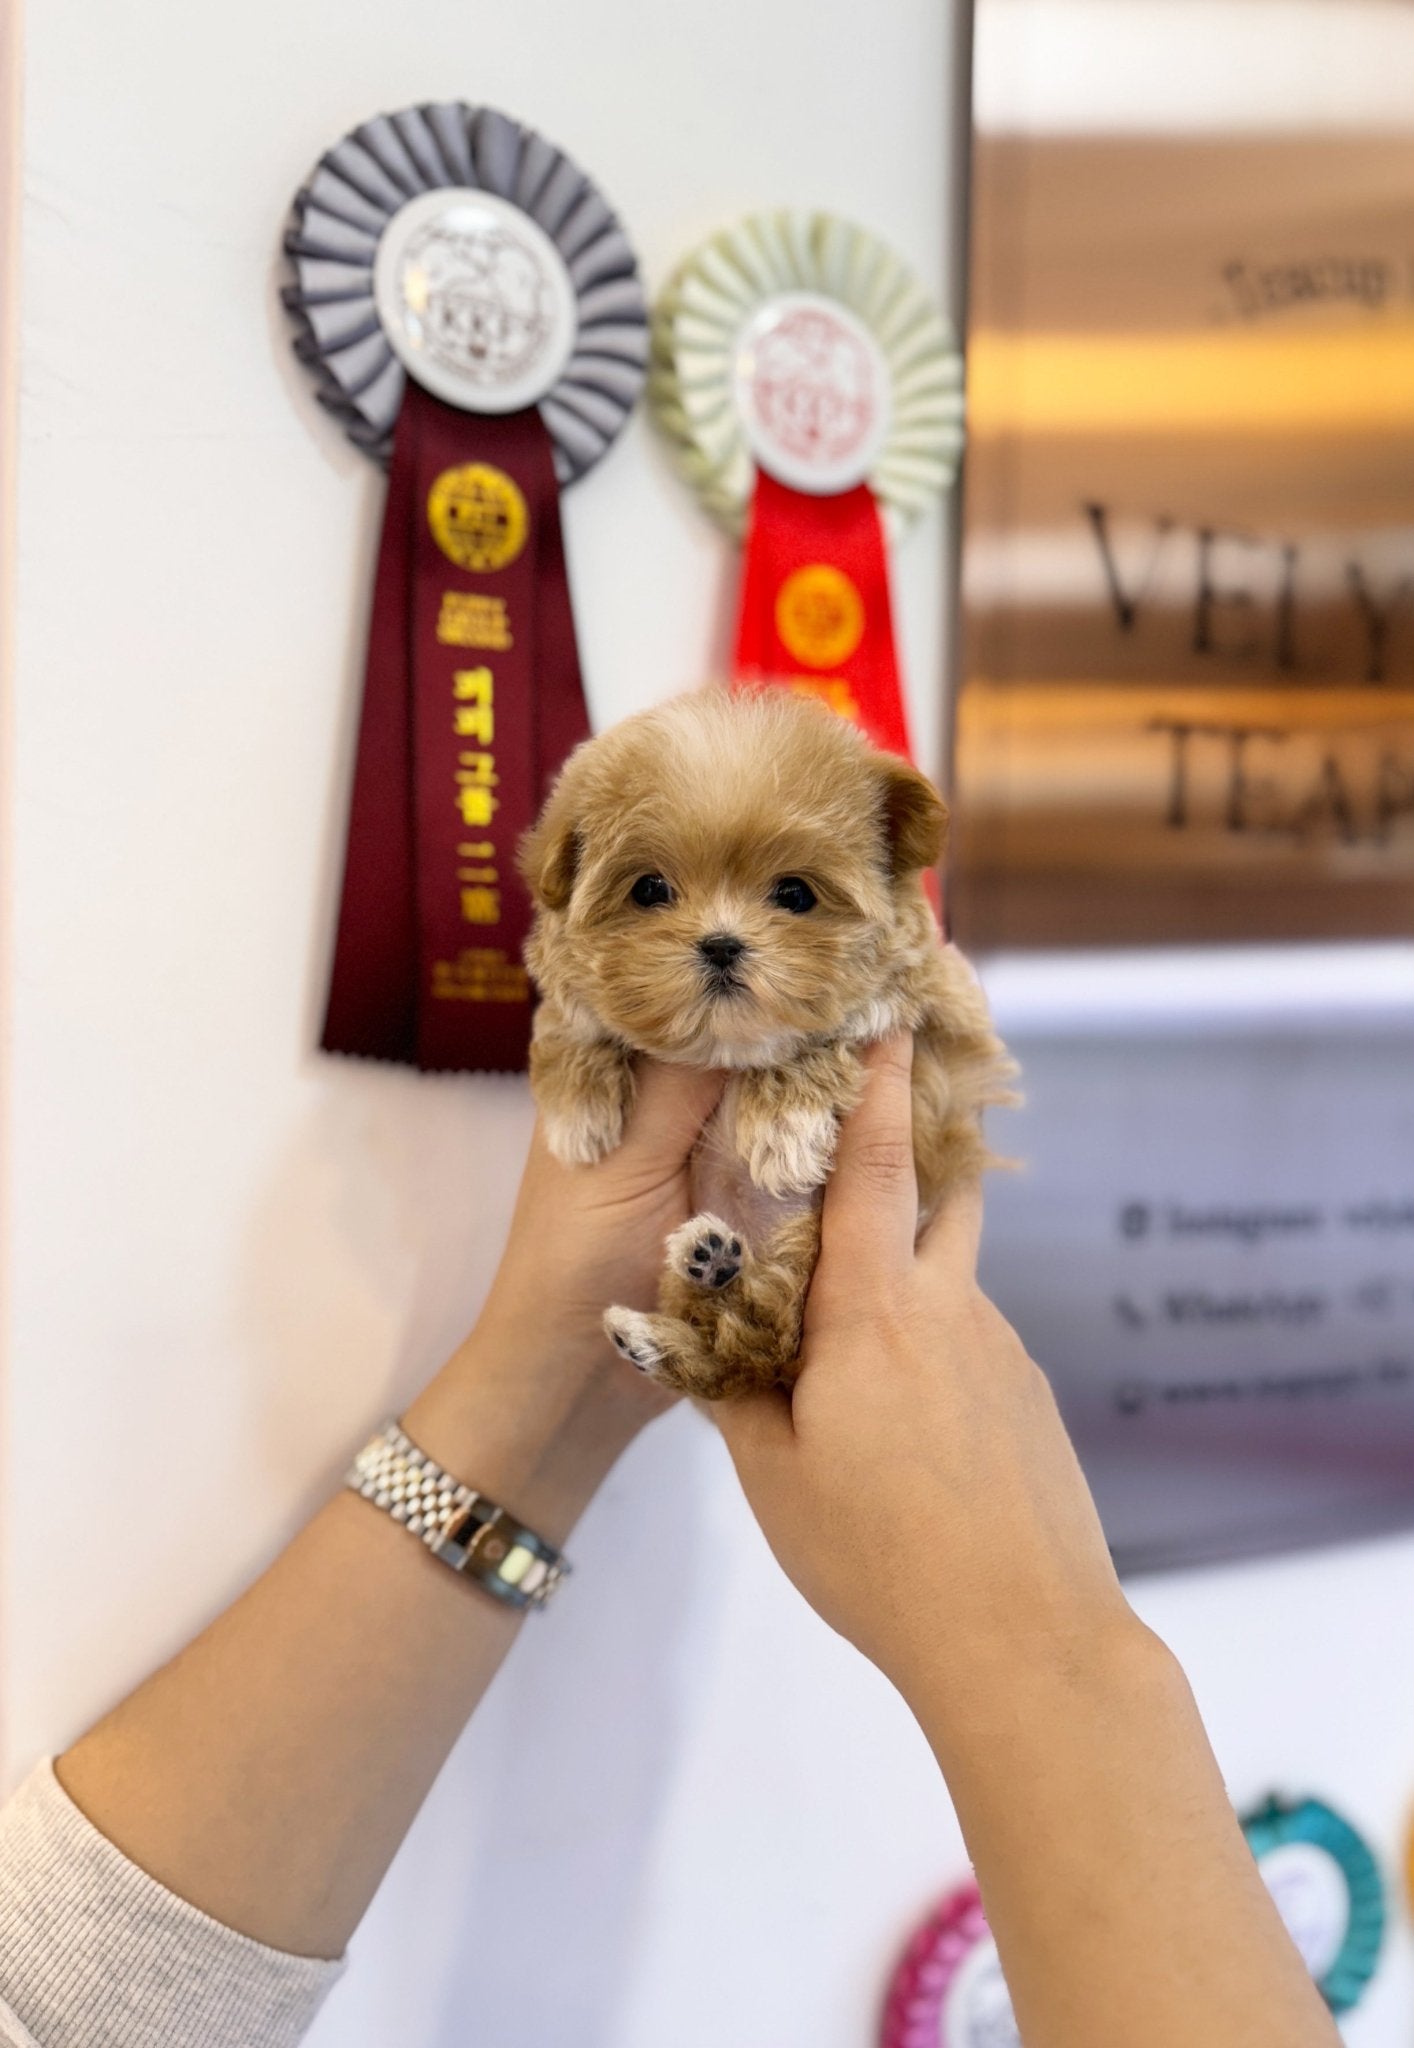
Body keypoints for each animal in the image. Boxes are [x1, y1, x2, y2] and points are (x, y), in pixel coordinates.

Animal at [518, 688, 1012, 1409]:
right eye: (649, 889)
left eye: (795, 894)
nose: (722, 944)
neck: (724, 1050)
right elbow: (567, 1022)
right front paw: (577, 1113)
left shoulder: (934, 1021)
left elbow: (821, 1041)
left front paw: (783, 1131)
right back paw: (685, 1287)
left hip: (797, 1279)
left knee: (755, 1342)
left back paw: (698, 1283)